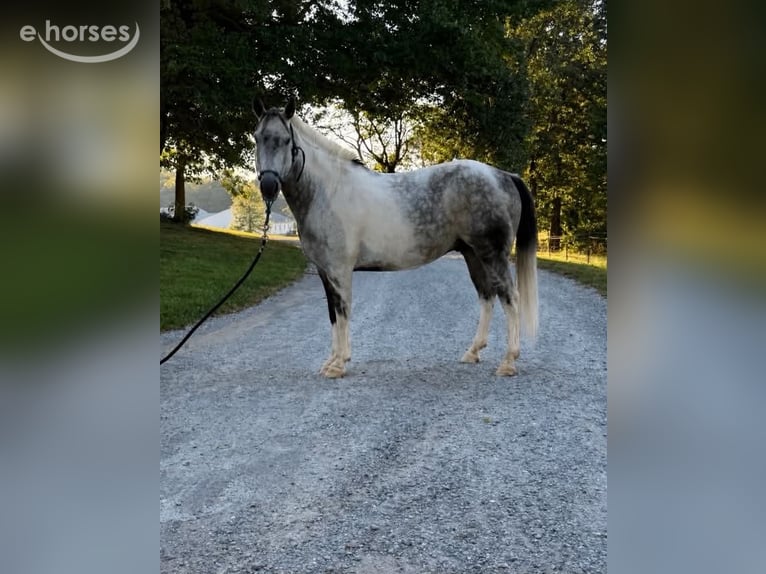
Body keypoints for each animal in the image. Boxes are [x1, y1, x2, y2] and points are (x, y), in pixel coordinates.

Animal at [254, 99, 538, 378]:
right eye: (257, 138)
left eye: (285, 140)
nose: (268, 185)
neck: (328, 191)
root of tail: (504, 176)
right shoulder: (325, 272)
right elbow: (333, 315)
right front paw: (332, 361)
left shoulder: (339, 270)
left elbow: (343, 313)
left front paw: (338, 364)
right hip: (472, 254)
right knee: (486, 296)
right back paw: (473, 352)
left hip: (493, 254)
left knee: (510, 297)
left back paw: (508, 362)